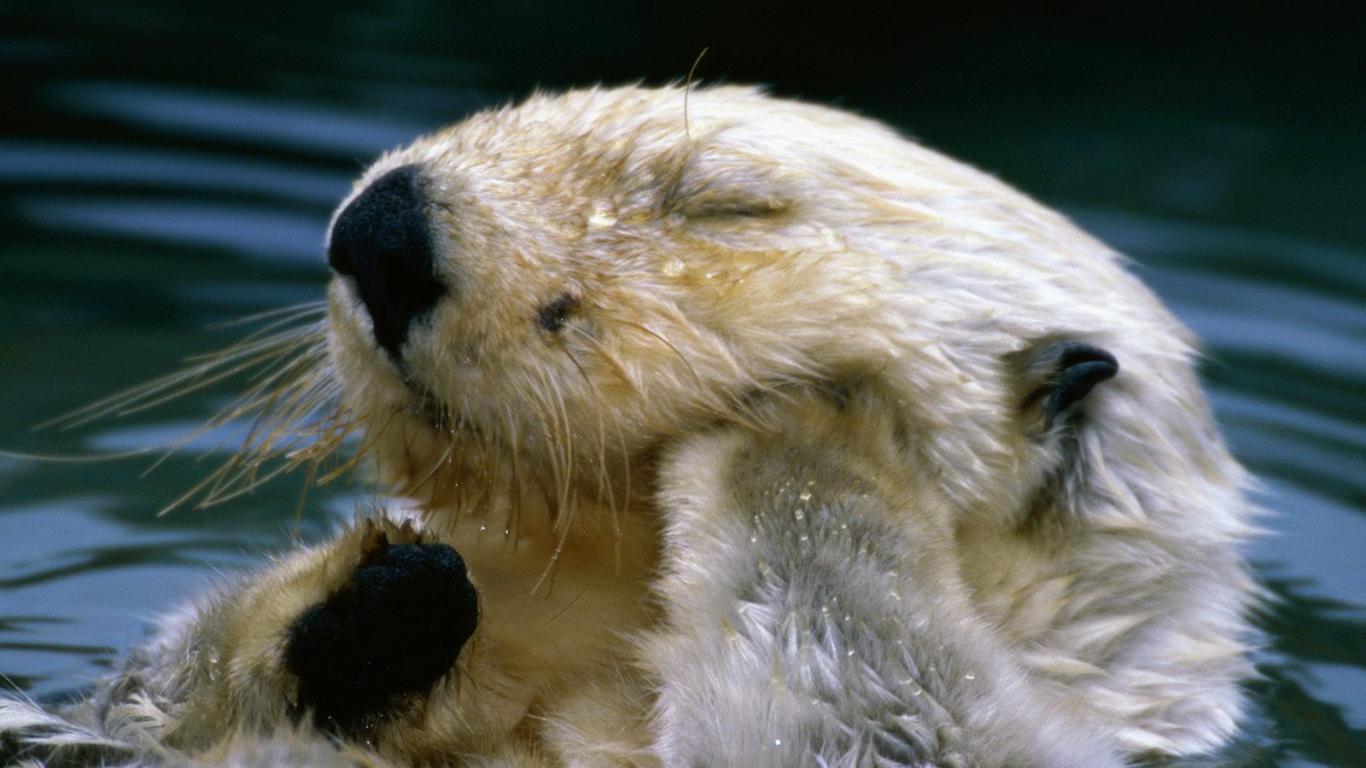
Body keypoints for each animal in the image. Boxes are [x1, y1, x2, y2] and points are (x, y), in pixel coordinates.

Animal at [1, 85, 1258, 767]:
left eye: (727, 205)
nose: (379, 229)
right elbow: (158, 685)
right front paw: (380, 600)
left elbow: (862, 687)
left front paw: (820, 430)